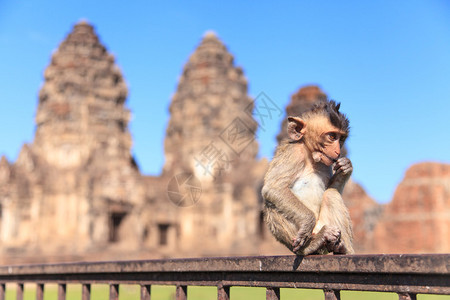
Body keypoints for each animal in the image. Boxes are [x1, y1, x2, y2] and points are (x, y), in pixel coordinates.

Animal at [260, 99, 356, 254]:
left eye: (341, 138)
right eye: (332, 137)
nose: (338, 151)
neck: (310, 155)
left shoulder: (326, 164)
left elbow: (330, 188)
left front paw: (346, 166)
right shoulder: (293, 153)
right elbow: (273, 188)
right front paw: (306, 223)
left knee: (331, 194)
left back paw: (343, 248)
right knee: (271, 204)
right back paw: (311, 245)